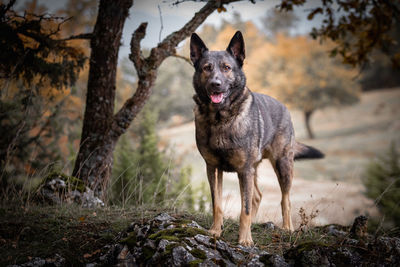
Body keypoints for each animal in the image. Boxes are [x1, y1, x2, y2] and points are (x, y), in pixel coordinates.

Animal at [189, 30, 324, 247]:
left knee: (284, 199)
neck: (221, 119)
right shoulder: (214, 168)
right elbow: (217, 204)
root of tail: (284, 106)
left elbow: (244, 209)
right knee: (257, 197)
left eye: (227, 68)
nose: (215, 85)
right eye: (206, 68)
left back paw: (287, 228)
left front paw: (245, 239)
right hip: (254, 170)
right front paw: (215, 231)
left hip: (282, 165)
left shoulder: (244, 170)